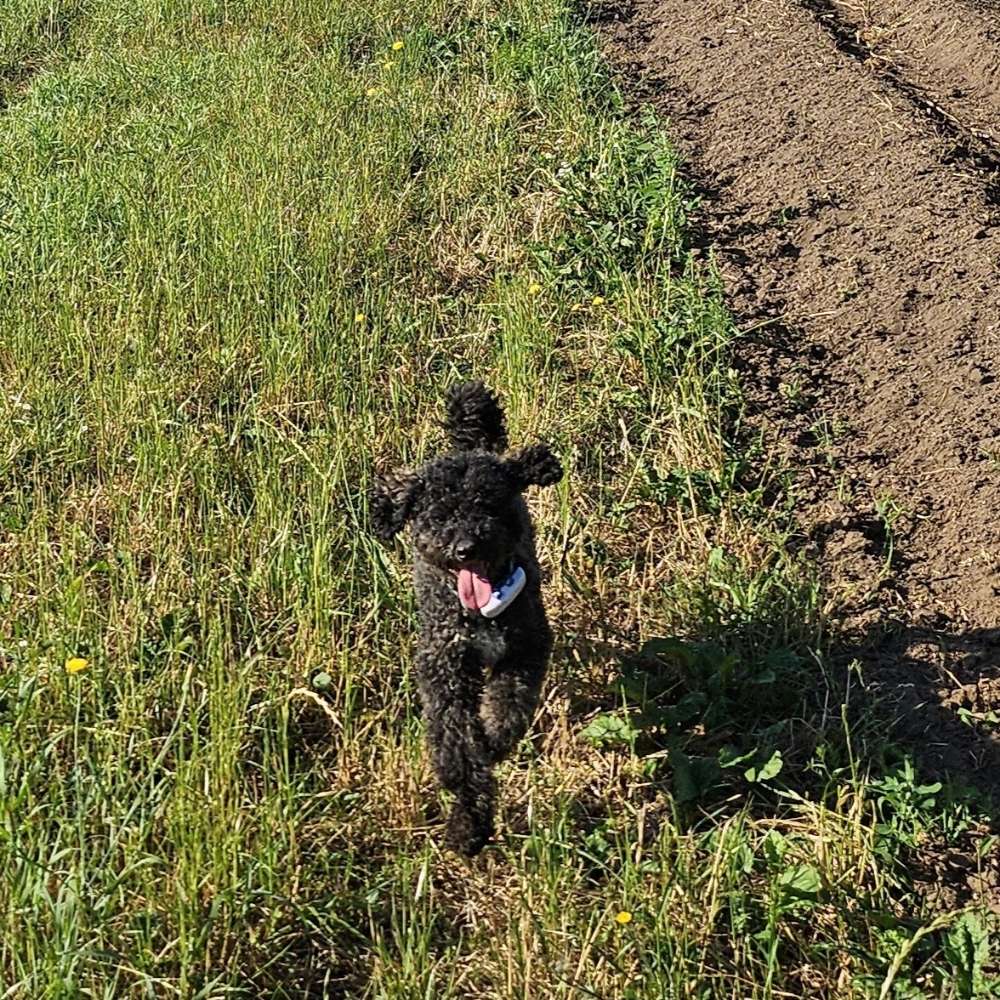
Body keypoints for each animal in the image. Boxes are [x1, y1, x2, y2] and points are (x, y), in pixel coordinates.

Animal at [374, 384, 568, 860]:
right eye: (439, 514)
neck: (482, 611)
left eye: (489, 505)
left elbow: (507, 708)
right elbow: (458, 747)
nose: (466, 548)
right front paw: (468, 825)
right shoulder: (444, 664)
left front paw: (494, 738)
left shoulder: (524, 647)